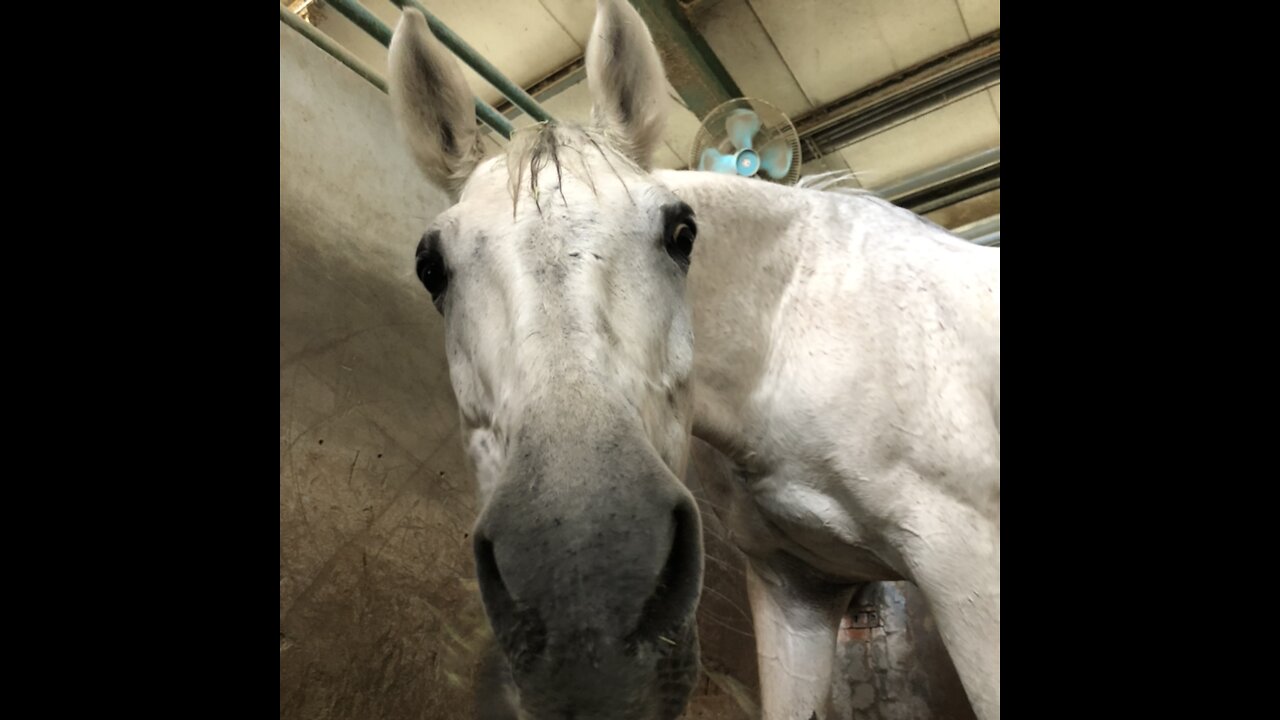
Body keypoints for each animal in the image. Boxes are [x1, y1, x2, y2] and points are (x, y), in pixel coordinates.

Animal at [386, 2, 999, 718]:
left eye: (682, 234)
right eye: (430, 267)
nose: (587, 595)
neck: (799, 334)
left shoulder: (967, 569)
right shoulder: (796, 592)